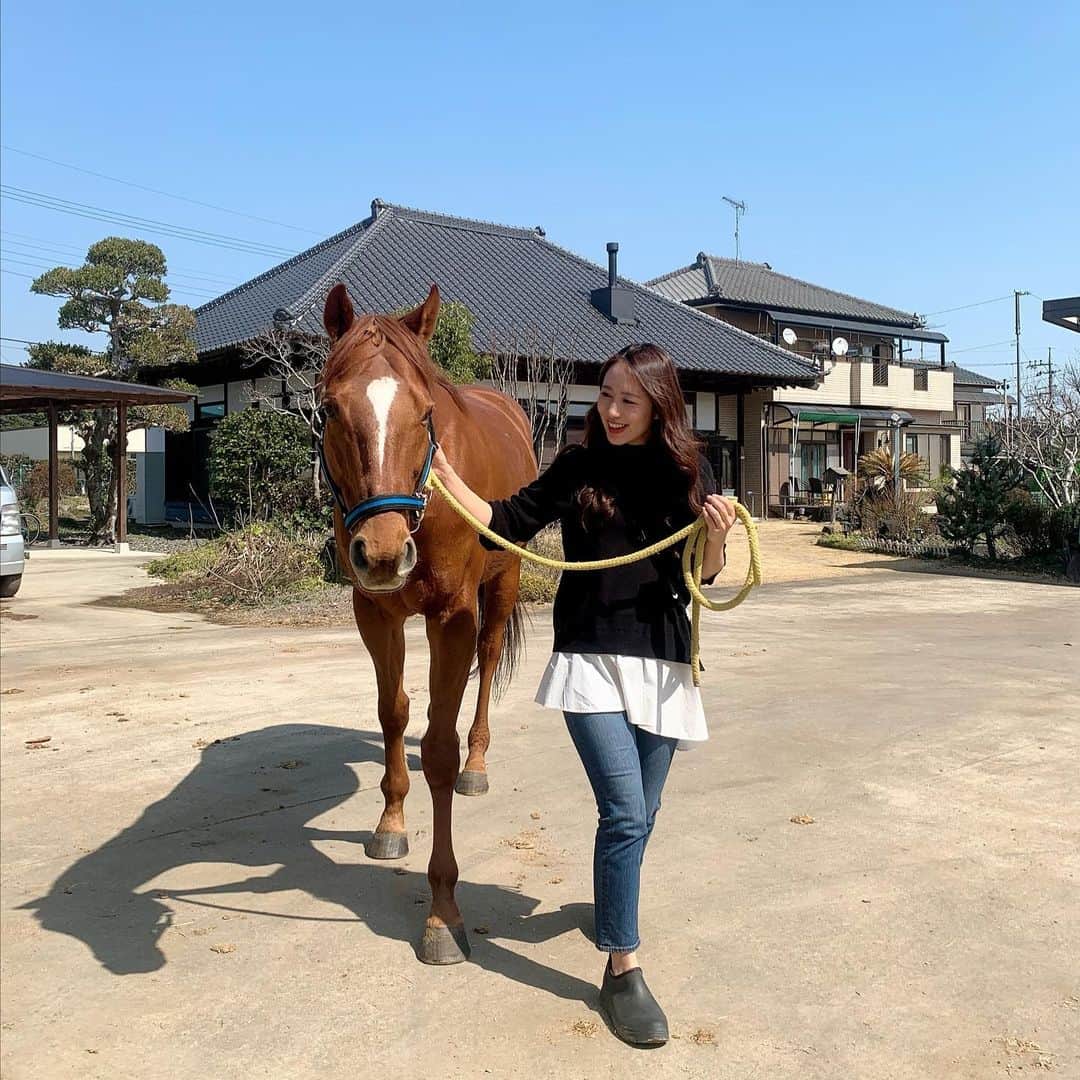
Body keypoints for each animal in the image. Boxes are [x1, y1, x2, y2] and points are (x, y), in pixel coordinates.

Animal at [317, 282, 536, 964]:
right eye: (331, 409)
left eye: (424, 412)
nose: (385, 552)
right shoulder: (375, 611)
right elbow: (394, 714)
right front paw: (390, 824)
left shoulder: (452, 616)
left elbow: (438, 749)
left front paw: (443, 915)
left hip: (502, 586)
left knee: (486, 667)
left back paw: (478, 765)